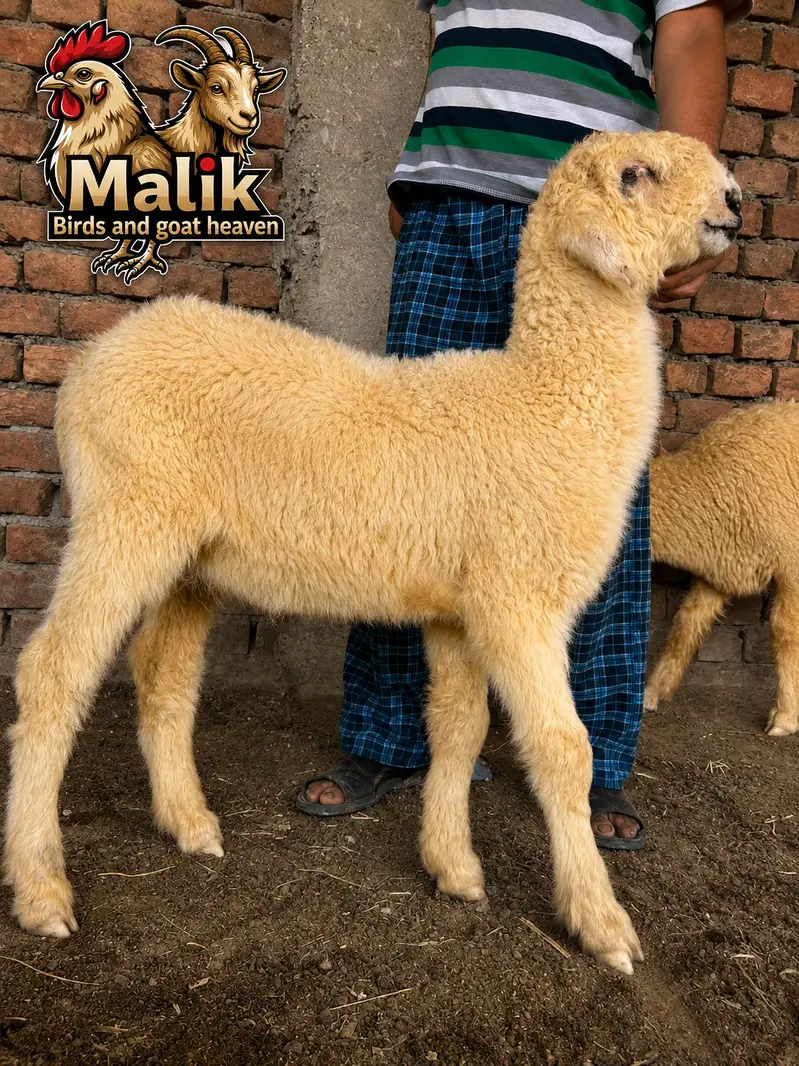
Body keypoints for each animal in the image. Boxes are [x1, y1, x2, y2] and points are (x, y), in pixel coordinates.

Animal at [3, 132, 742, 975]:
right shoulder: (517, 600)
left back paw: (190, 825)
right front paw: (601, 922)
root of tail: (92, 356)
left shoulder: (460, 608)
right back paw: (41, 888)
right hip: (124, 516)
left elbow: (457, 728)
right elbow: (564, 752)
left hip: (190, 554)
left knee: (162, 673)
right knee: (53, 673)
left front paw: (452, 867)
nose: (733, 200)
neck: (546, 400)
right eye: (633, 176)